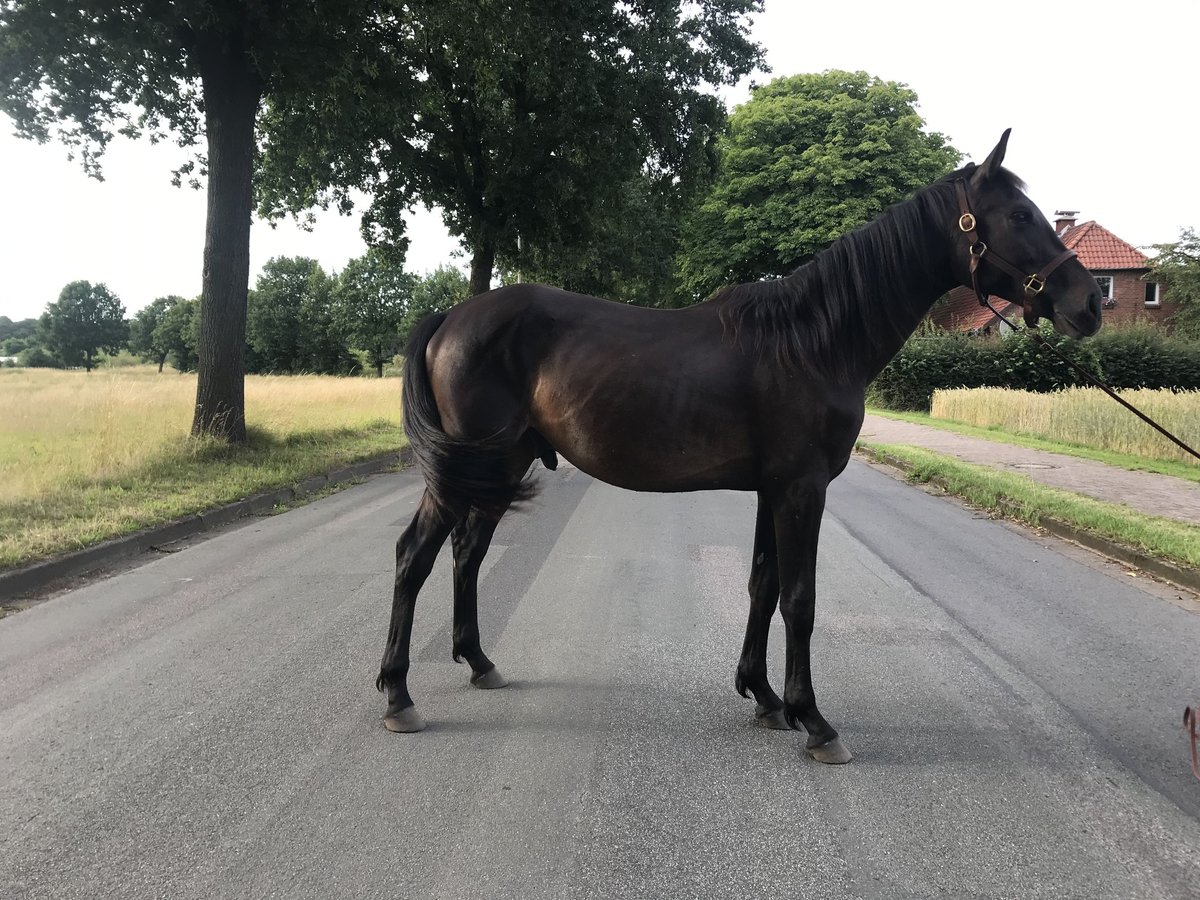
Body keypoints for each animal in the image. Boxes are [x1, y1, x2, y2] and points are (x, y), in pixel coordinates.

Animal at [379, 130, 1099, 763]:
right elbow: (800, 598)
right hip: (467, 474)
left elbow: (762, 584)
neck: (814, 340)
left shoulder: (771, 488)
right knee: (415, 555)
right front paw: (814, 720)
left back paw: (479, 662)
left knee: (467, 555)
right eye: (1019, 214)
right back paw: (397, 695)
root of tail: (451, 317)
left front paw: (764, 696)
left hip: (499, 468)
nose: (1088, 302)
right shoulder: (802, 488)